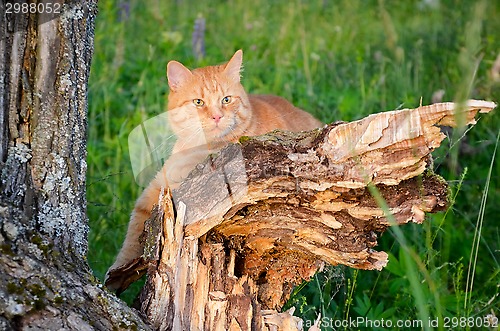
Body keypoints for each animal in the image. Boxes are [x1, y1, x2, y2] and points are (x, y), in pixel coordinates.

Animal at [107, 50, 322, 290]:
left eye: (226, 100)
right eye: (198, 102)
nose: (217, 116)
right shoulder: (155, 191)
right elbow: (132, 233)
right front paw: (115, 275)